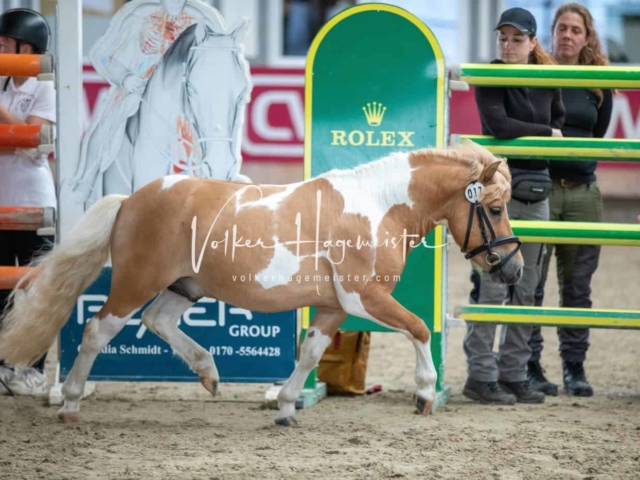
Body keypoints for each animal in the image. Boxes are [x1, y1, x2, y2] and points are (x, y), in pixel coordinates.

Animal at [0, 141, 524, 426]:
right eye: (496, 208)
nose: (514, 269)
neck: (378, 208)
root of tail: (131, 199)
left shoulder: (334, 305)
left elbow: (310, 353)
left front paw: (287, 407)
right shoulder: (365, 297)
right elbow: (416, 327)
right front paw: (424, 395)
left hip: (185, 286)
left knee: (157, 321)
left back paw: (209, 373)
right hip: (135, 281)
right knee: (98, 330)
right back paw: (69, 403)